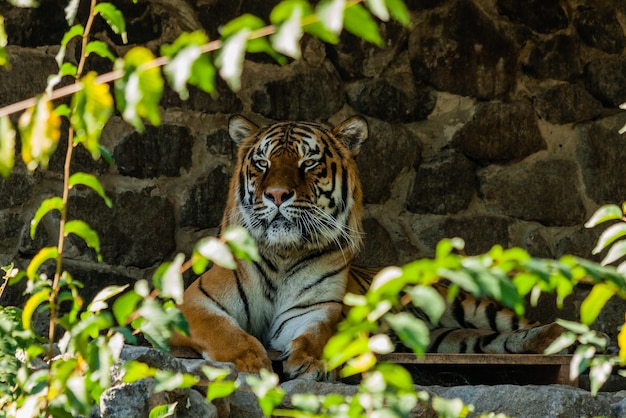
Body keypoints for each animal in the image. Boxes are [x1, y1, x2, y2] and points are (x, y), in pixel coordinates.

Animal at [168, 116, 560, 380]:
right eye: (262, 163)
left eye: (309, 162)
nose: (277, 194)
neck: (284, 253)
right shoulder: (194, 303)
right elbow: (224, 330)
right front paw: (250, 361)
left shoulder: (315, 310)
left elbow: (316, 336)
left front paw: (310, 361)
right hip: (446, 338)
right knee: (487, 340)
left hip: (465, 304)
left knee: (518, 323)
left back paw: (557, 337)